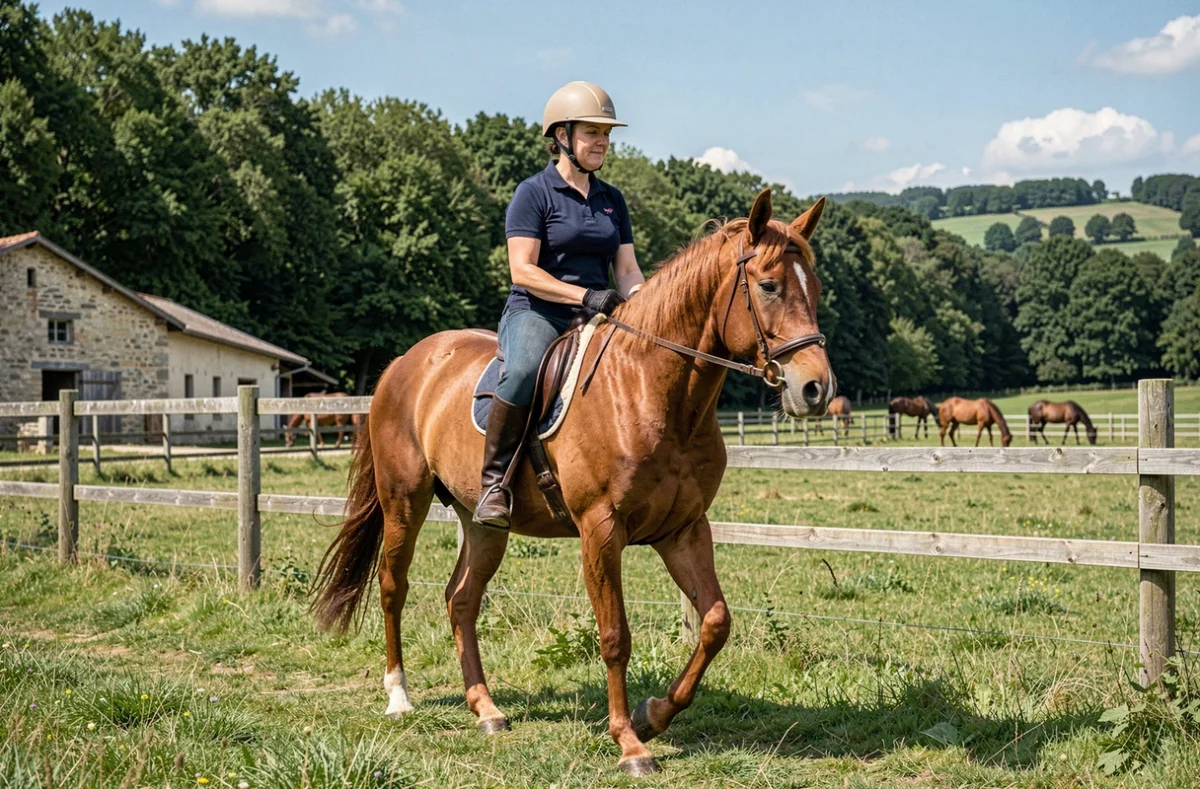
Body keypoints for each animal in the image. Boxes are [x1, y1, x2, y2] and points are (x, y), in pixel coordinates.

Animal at [309, 190, 835, 776]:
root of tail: (404, 362)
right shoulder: (600, 530)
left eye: (814, 287)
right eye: (768, 286)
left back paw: (485, 708)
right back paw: (399, 696)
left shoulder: (684, 528)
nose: (815, 389)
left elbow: (716, 622)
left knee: (461, 599)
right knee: (393, 587)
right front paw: (629, 743)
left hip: (483, 522)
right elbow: (615, 636)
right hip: (404, 501)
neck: (650, 389)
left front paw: (654, 714)